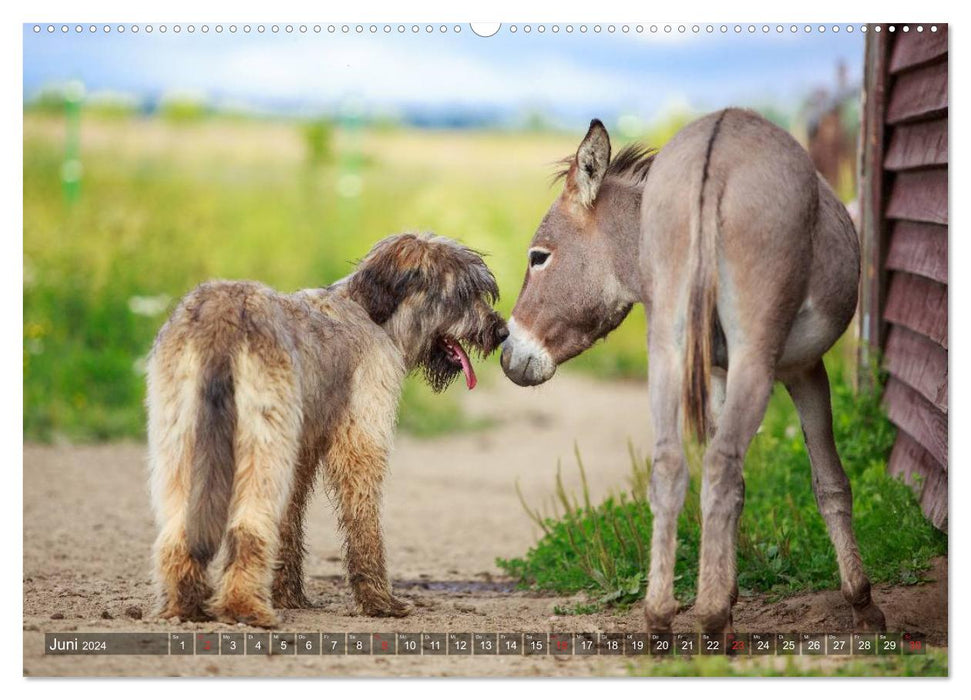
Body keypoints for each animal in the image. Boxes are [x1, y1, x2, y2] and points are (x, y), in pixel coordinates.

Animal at [148, 232, 508, 628]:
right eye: (464, 293)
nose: (502, 332)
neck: (372, 313)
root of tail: (223, 317)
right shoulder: (361, 437)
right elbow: (363, 522)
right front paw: (379, 601)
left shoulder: (302, 449)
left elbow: (290, 522)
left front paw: (289, 596)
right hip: (261, 441)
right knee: (248, 525)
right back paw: (244, 608)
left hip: (181, 436)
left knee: (179, 527)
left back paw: (186, 605)